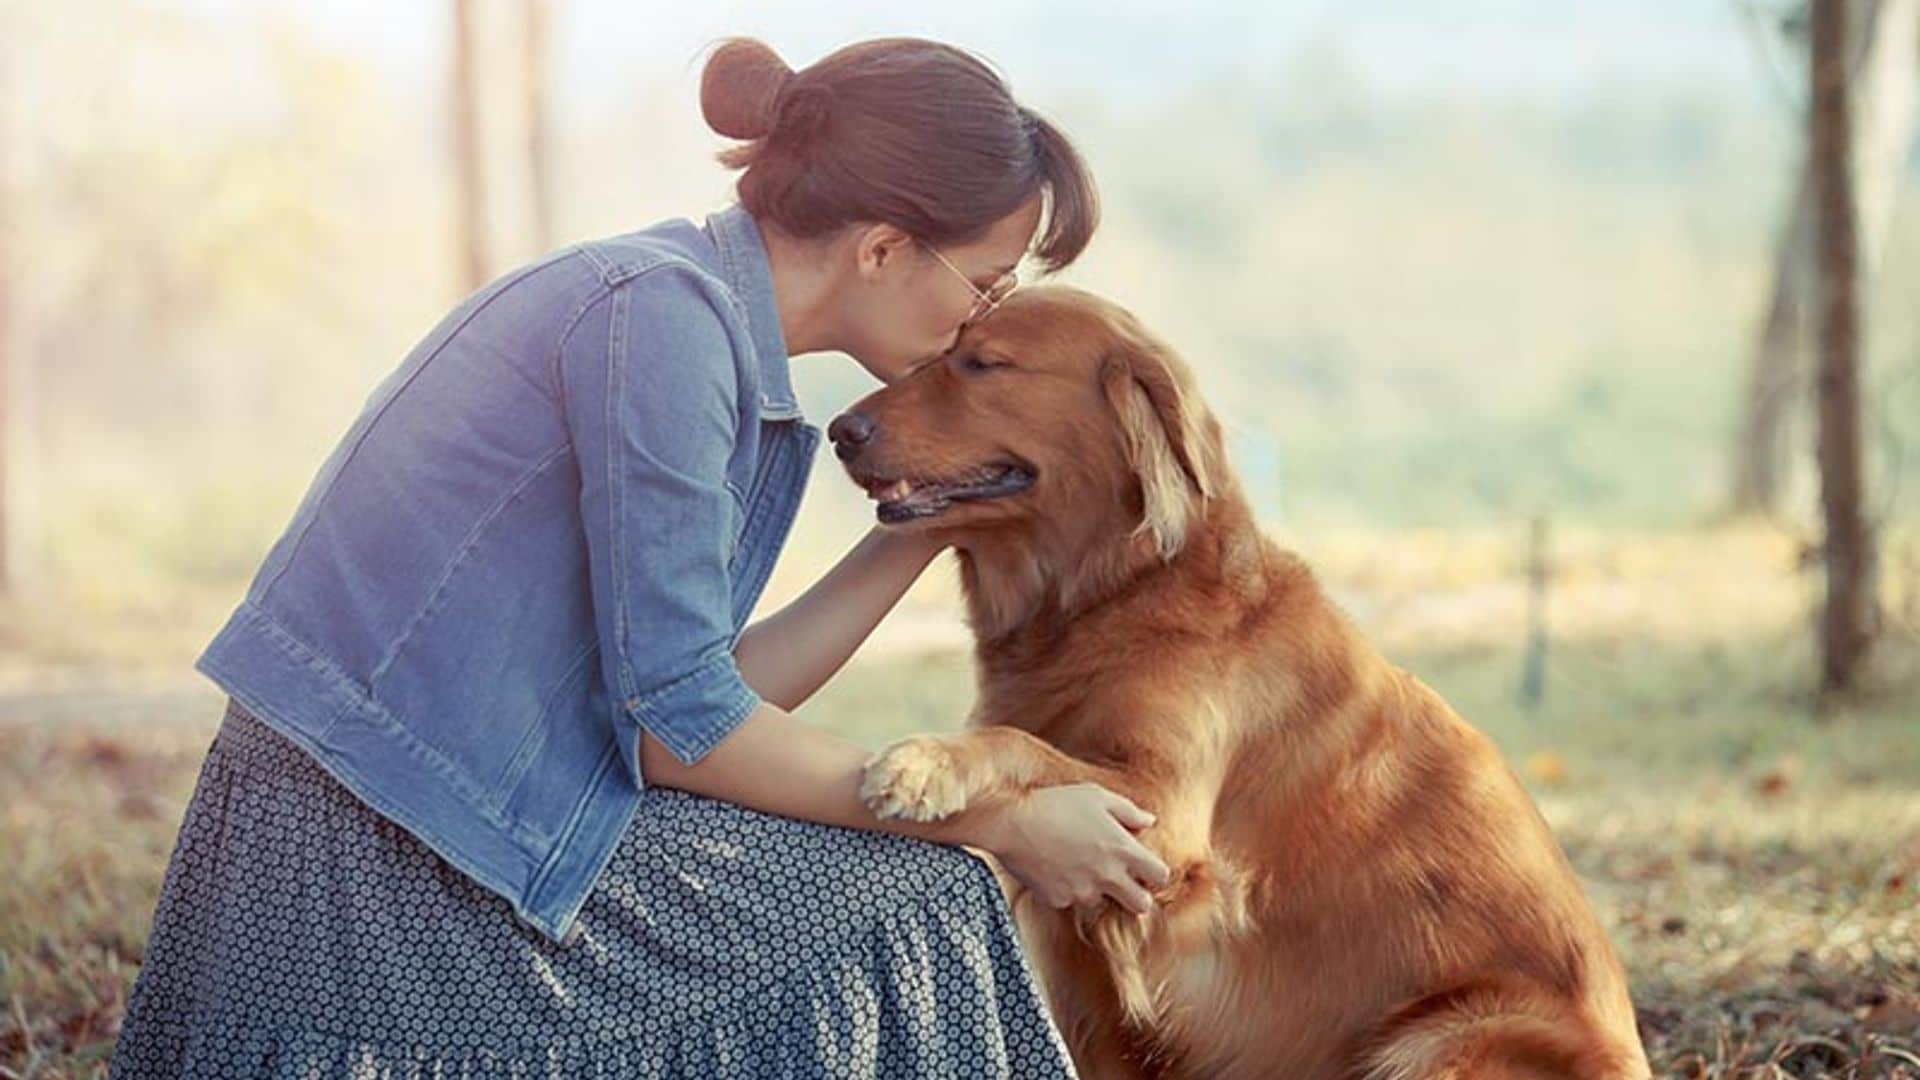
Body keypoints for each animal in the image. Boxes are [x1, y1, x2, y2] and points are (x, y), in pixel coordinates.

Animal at [829, 286, 1651, 1076]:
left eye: (984, 364)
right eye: (938, 354)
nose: (840, 430)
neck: (1114, 594)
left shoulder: (1159, 821)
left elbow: (1016, 743)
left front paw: (923, 763)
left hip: (1442, 1038)